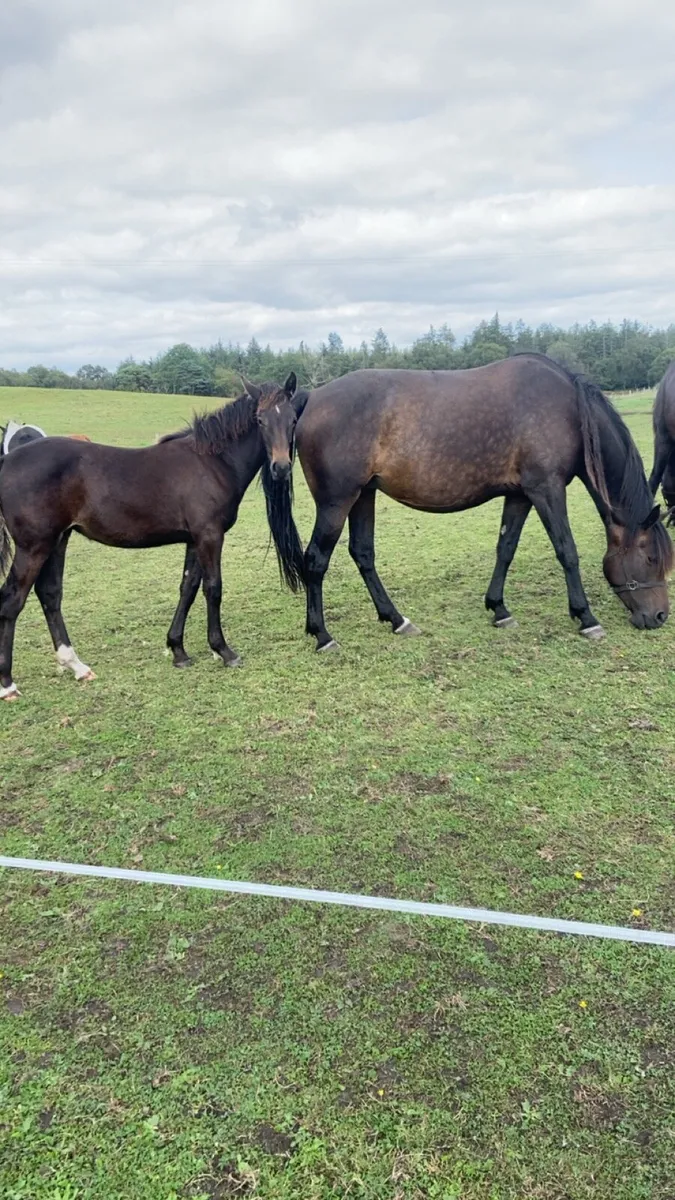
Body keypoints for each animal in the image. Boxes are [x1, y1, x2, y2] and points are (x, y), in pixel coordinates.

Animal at [0, 376, 304, 700]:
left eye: (292, 419)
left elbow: (188, 588)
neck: (212, 462)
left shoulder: (194, 539)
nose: (281, 468)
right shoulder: (209, 535)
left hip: (58, 540)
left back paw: (77, 667)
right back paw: (7, 684)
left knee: (50, 594)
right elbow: (213, 589)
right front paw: (223, 651)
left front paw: (178, 650)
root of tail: (7, 460)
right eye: (260, 420)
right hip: (33, 546)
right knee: (12, 600)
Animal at [276, 354, 672, 651]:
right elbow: (567, 550)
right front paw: (586, 617)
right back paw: (322, 635)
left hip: (363, 496)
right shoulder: (547, 489)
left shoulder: (520, 494)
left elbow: (506, 548)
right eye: (652, 558)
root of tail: (312, 398)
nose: (659, 617)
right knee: (316, 560)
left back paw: (397, 620)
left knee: (362, 554)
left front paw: (499, 609)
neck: (569, 411)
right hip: (336, 502)